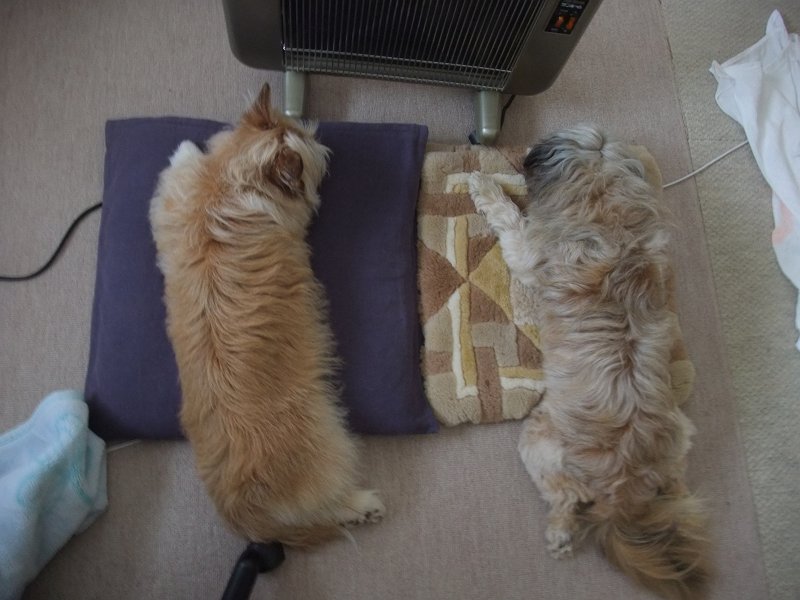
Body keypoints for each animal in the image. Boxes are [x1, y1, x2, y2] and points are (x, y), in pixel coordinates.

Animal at [149, 83, 384, 547]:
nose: (318, 136)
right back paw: (363, 505)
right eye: (309, 153)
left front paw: (190, 147)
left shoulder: (172, 198)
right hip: (330, 444)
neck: (229, 184)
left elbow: (183, 163)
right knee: (330, 503)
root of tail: (241, 513)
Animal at [468, 125, 709, 599]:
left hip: (537, 441)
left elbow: (511, 218)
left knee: (565, 497)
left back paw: (561, 533)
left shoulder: (529, 255)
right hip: (681, 436)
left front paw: (486, 186)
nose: (526, 151)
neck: (610, 217)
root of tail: (622, 491)